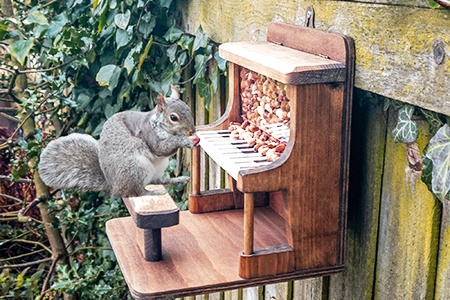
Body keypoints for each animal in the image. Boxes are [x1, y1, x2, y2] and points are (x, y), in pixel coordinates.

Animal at [38, 88, 199, 198]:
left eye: (188, 108)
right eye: (173, 118)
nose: (192, 130)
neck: (157, 123)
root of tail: (113, 187)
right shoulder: (149, 135)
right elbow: (161, 148)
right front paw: (184, 140)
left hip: (159, 167)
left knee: (158, 181)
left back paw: (177, 179)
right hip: (135, 168)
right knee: (136, 191)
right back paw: (151, 194)